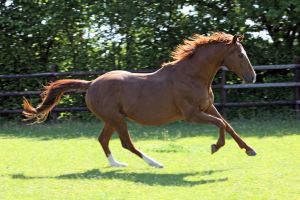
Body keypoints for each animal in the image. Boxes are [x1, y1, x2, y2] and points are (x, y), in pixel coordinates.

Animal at [24, 32, 258, 168]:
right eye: (240, 55)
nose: (252, 77)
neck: (191, 76)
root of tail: (91, 84)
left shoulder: (208, 107)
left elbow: (227, 124)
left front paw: (250, 150)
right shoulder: (192, 115)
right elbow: (221, 124)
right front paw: (215, 146)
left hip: (112, 119)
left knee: (103, 140)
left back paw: (116, 165)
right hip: (117, 119)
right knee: (126, 143)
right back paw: (155, 163)